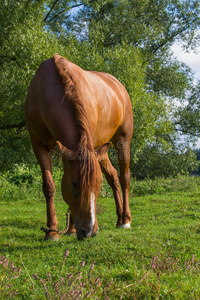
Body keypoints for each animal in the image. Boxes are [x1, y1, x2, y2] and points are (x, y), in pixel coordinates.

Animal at [25, 54, 133, 240]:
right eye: (74, 184)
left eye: (98, 185)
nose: (89, 232)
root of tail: (118, 85)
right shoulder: (38, 144)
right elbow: (49, 186)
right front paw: (53, 232)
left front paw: (70, 229)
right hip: (101, 149)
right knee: (113, 176)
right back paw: (119, 219)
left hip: (122, 141)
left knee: (124, 177)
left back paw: (125, 220)